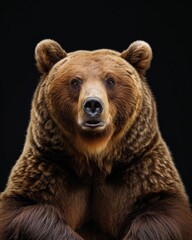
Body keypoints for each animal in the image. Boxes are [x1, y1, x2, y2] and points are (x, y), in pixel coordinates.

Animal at [0, 38, 192, 239]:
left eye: (110, 80)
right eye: (75, 81)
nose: (93, 104)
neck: (94, 157)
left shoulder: (139, 166)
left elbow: (164, 209)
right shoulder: (49, 165)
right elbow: (25, 208)